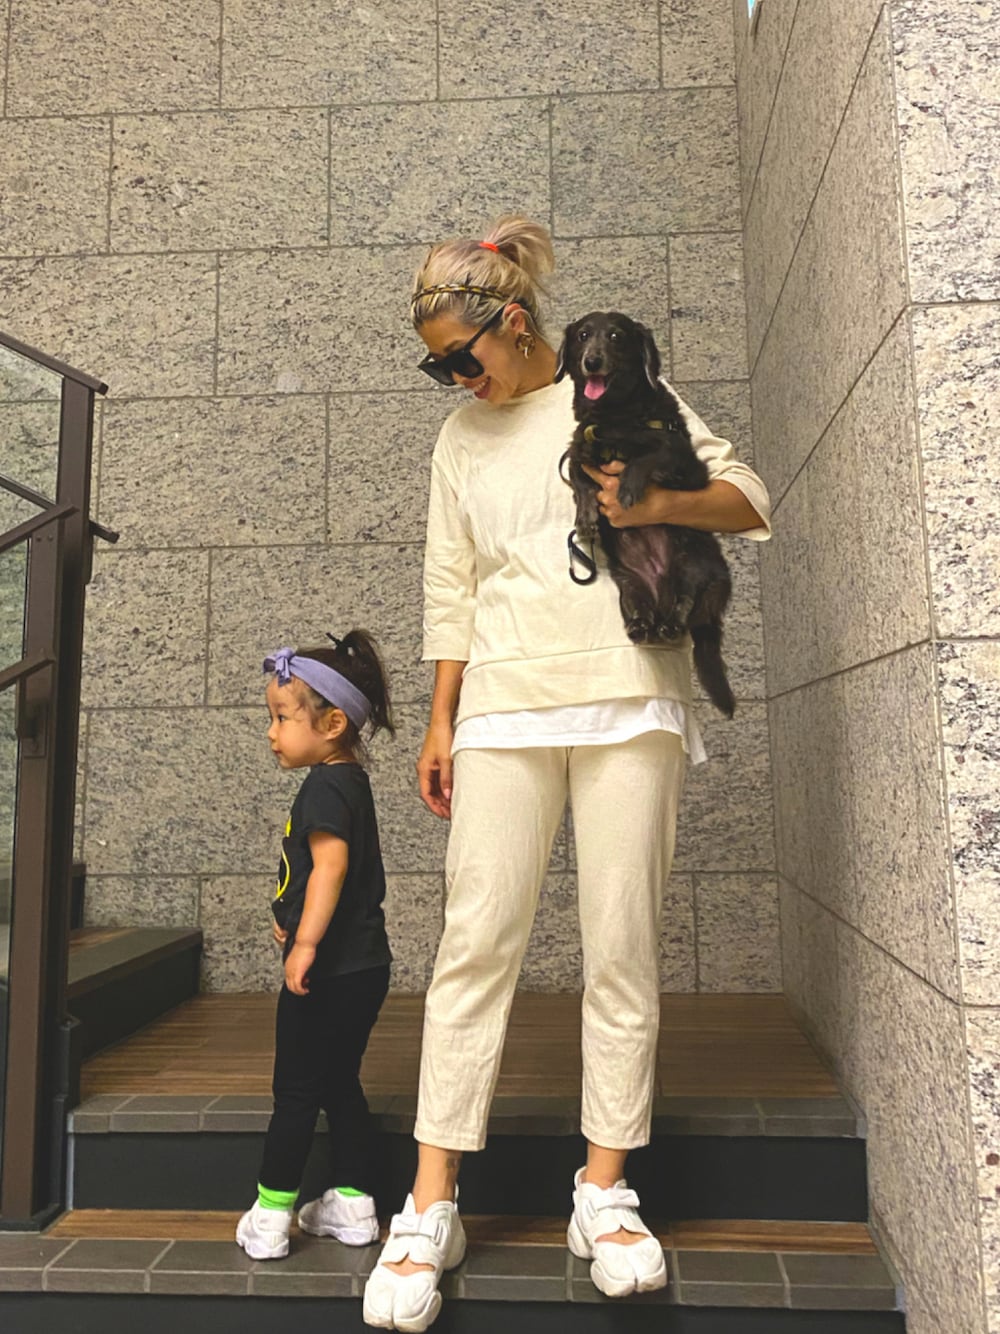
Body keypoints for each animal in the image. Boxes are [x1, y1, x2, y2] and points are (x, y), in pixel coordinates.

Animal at [557, 310, 735, 718]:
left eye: (616, 336)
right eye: (583, 335)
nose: (592, 360)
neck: (613, 419)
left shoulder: (683, 460)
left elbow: (650, 455)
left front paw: (627, 487)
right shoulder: (578, 447)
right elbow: (580, 478)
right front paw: (587, 518)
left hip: (694, 561)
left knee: (687, 599)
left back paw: (674, 621)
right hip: (630, 585)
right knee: (643, 612)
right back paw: (643, 625)